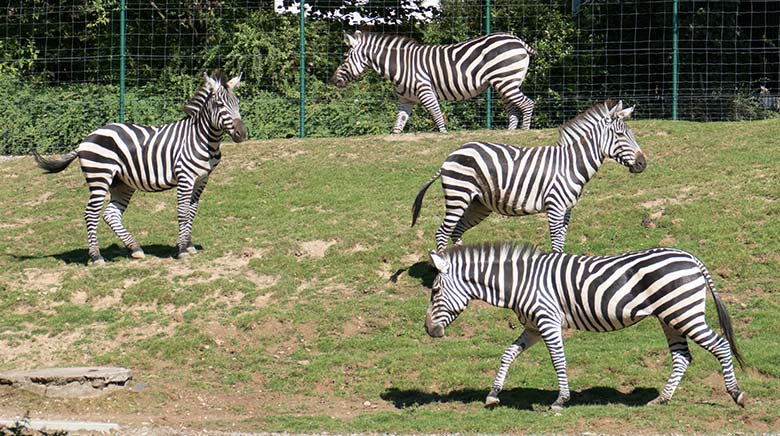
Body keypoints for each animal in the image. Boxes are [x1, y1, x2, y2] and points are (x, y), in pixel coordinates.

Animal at [32, 70, 247, 266]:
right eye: (219, 104)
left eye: (237, 103)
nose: (242, 133)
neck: (201, 138)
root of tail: (87, 138)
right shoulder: (185, 177)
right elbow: (183, 212)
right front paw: (183, 250)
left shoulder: (202, 179)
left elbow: (192, 211)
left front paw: (188, 245)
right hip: (100, 175)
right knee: (91, 213)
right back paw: (96, 257)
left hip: (122, 183)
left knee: (110, 214)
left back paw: (135, 248)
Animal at [330, 30, 536, 133]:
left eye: (345, 57)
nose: (333, 80)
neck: (400, 65)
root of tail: (518, 40)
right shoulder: (406, 100)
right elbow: (398, 126)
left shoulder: (425, 90)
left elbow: (437, 116)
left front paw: (444, 135)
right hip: (505, 83)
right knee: (513, 109)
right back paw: (510, 133)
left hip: (505, 80)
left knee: (527, 104)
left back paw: (524, 132)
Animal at [408, 98, 644, 252]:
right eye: (621, 134)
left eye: (631, 134)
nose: (643, 163)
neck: (570, 164)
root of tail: (451, 154)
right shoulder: (555, 207)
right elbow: (556, 243)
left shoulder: (567, 210)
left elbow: (562, 241)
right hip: (459, 195)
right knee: (442, 232)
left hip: (478, 203)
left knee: (456, 231)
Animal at [424, 244, 748, 410]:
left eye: (435, 291)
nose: (429, 330)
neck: (520, 282)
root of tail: (690, 256)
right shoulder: (533, 327)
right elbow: (508, 354)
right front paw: (493, 394)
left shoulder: (547, 320)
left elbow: (558, 360)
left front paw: (561, 400)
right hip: (670, 317)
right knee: (682, 357)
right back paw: (661, 398)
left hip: (684, 313)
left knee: (720, 345)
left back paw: (736, 394)